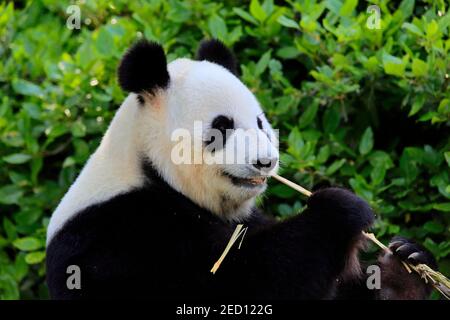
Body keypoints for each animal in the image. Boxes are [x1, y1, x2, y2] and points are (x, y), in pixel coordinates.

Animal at [45, 38, 436, 298]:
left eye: (260, 122)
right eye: (222, 127)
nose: (266, 161)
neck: (149, 172)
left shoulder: (245, 217)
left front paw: (406, 265)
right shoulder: (117, 236)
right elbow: (240, 281)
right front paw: (340, 210)